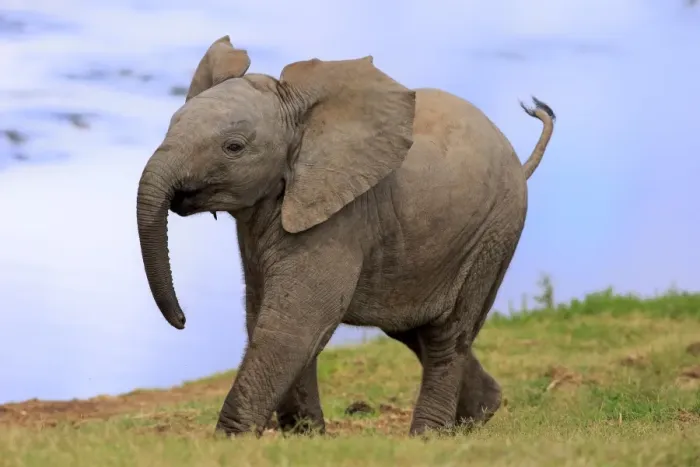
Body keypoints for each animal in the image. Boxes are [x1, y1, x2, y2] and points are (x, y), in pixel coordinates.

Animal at [136, 35, 555, 437]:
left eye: (233, 147)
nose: (182, 321)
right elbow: (264, 315)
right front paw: (305, 436)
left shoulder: (341, 219)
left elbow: (294, 322)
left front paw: (231, 441)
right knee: (411, 329)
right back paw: (479, 416)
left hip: (495, 231)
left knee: (447, 335)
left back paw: (429, 436)